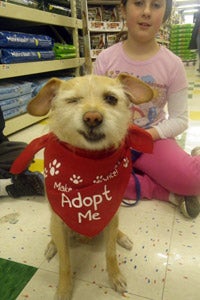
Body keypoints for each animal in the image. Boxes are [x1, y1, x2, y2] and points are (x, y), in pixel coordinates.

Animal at [10, 74, 153, 298]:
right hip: (54, 223)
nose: (92, 117)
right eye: (72, 100)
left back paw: (122, 237)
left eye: (111, 99)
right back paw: (51, 246)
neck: (88, 162)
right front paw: (64, 289)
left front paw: (115, 276)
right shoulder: (60, 220)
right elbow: (65, 264)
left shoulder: (111, 213)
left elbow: (111, 254)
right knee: (55, 237)